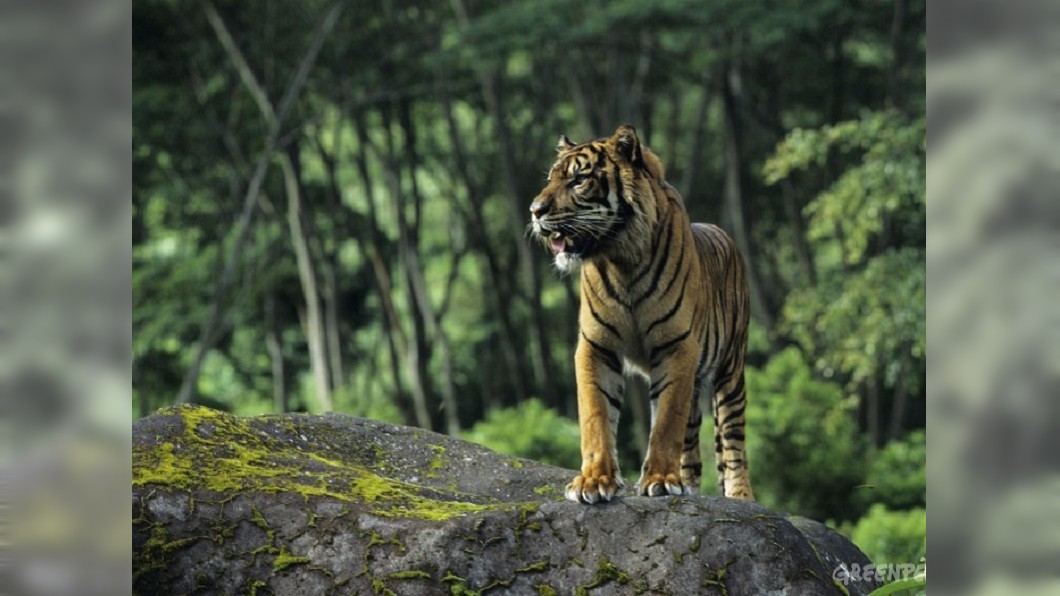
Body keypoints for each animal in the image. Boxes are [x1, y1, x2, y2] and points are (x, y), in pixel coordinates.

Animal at [529, 124, 755, 504]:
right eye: (550, 179)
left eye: (578, 180)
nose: (534, 210)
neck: (622, 260)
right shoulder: (595, 346)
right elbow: (596, 414)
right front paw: (594, 480)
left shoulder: (677, 346)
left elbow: (666, 422)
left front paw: (661, 479)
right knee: (692, 447)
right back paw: (688, 484)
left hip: (731, 370)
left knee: (732, 438)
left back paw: (739, 496)